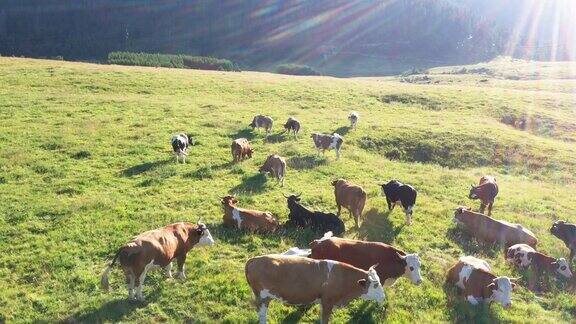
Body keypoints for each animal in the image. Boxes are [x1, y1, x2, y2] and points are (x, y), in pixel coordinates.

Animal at [243, 256, 382, 324]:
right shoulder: (328, 302)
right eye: (375, 284)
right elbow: (324, 320)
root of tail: (255, 259)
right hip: (263, 297)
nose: (383, 297)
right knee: (262, 314)